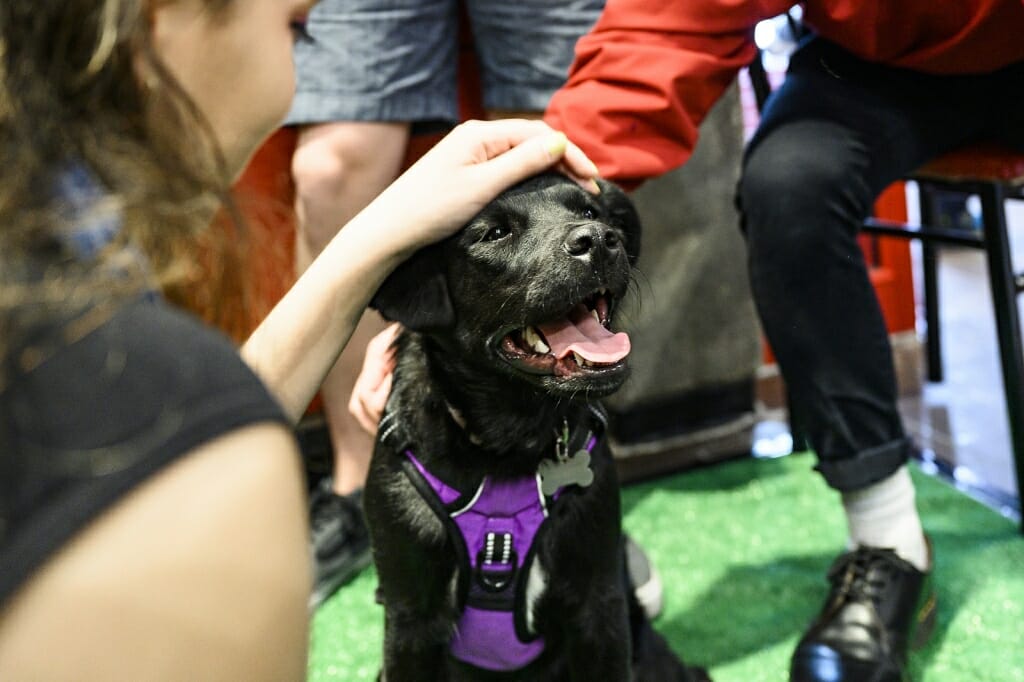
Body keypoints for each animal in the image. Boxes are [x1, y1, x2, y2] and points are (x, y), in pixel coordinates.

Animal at [368, 173, 712, 675]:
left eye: (591, 211)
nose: (599, 241)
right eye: (495, 233)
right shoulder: (411, 620)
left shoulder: (598, 606)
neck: (508, 446)